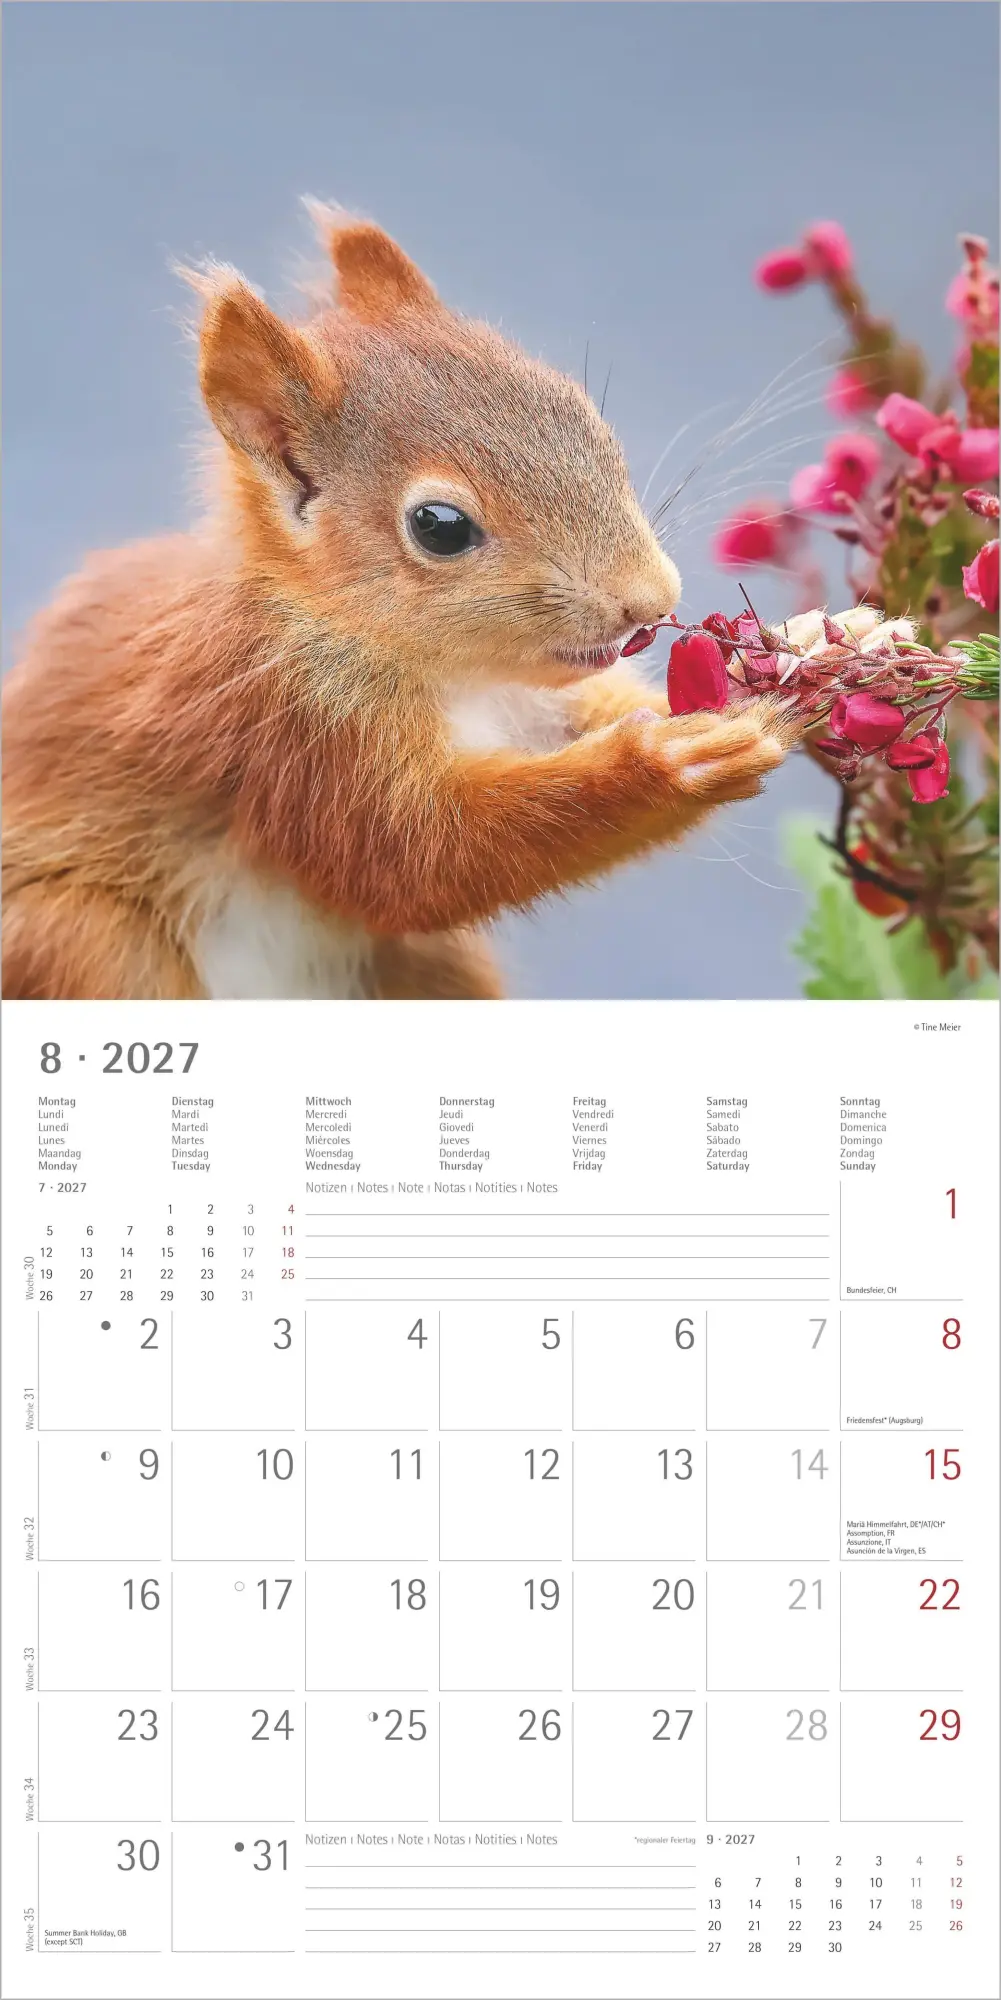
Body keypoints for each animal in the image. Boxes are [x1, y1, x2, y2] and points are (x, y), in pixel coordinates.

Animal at [2, 206, 801, 1000]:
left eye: (590, 424)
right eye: (438, 527)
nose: (650, 601)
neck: (452, 676)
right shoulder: (288, 726)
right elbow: (415, 860)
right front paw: (672, 758)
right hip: (85, 940)